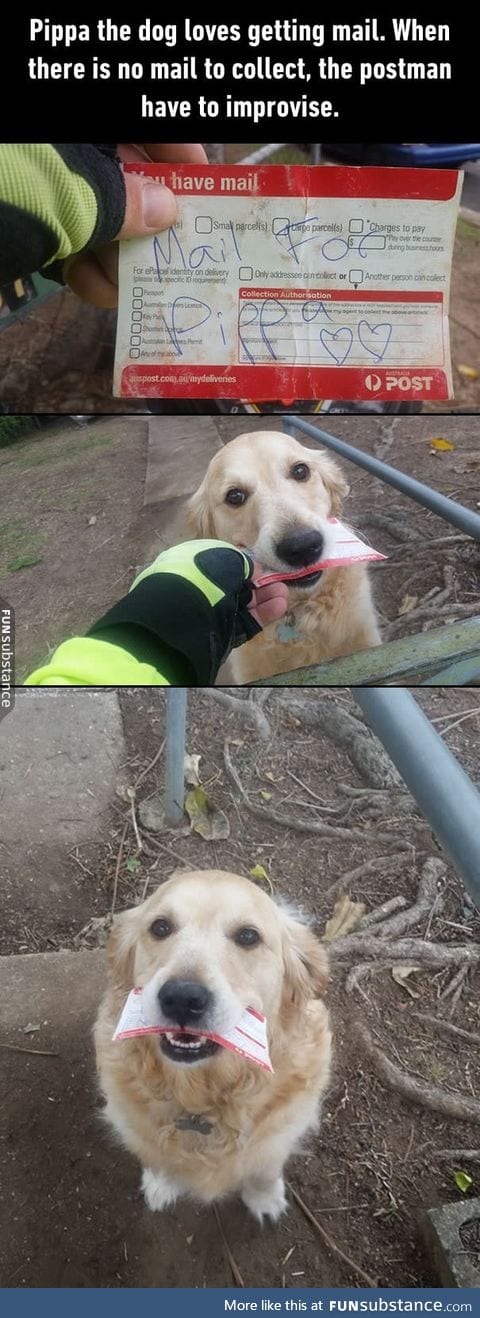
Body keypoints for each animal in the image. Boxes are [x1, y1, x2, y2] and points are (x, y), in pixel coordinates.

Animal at [95, 869, 332, 1217]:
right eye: (160, 927)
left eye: (248, 936)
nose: (181, 998)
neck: (201, 1099)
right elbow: (157, 1158)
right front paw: (162, 1184)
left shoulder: (279, 1134)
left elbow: (264, 1169)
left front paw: (264, 1198)